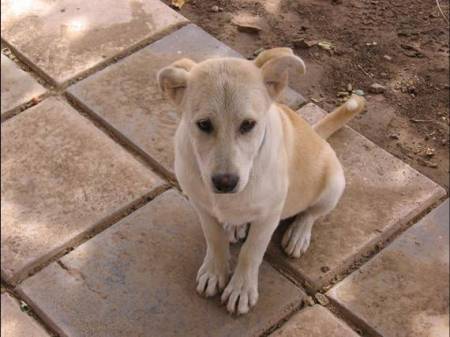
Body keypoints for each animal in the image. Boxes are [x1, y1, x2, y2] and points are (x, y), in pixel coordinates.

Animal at [158, 48, 366, 316]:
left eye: (248, 125)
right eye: (203, 124)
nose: (225, 183)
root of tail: (315, 134)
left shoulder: (269, 216)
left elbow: (251, 252)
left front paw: (241, 289)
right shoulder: (201, 205)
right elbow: (214, 239)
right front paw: (215, 271)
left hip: (334, 184)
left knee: (311, 214)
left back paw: (298, 234)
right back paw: (235, 226)